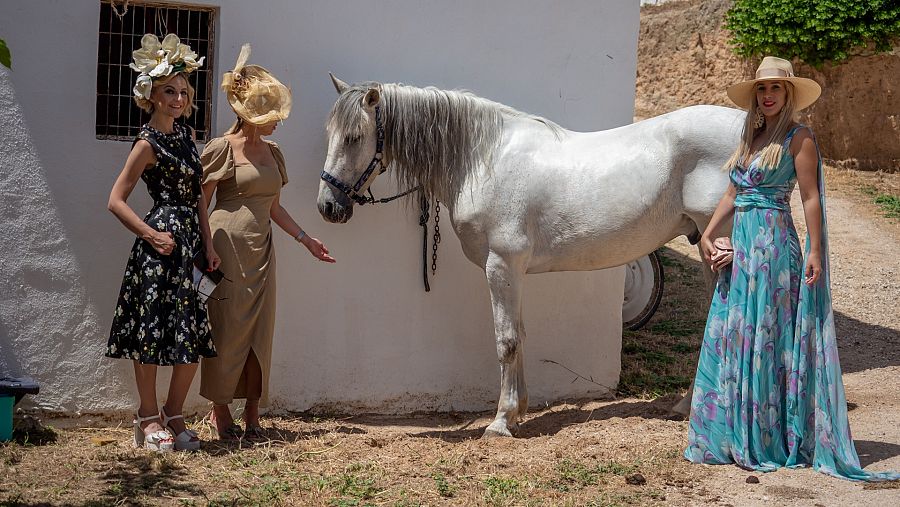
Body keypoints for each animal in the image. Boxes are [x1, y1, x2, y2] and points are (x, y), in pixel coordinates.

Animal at [317, 74, 742, 437]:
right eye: (330, 134)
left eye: (354, 136)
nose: (328, 206)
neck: (482, 160)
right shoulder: (513, 271)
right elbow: (519, 334)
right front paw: (519, 409)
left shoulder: (501, 265)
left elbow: (505, 340)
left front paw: (501, 421)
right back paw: (688, 406)